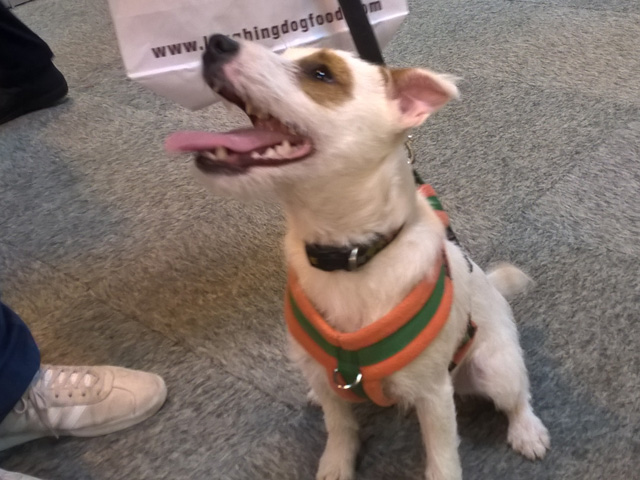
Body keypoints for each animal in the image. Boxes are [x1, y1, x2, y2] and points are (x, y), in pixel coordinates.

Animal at [165, 34, 552, 480]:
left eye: (320, 74)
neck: (350, 257)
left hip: (496, 367)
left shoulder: (434, 395)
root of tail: (489, 285)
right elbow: (339, 427)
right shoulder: (332, 383)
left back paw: (527, 431)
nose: (215, 42)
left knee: (517, 398)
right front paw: (336, 463)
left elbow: (441, 459)